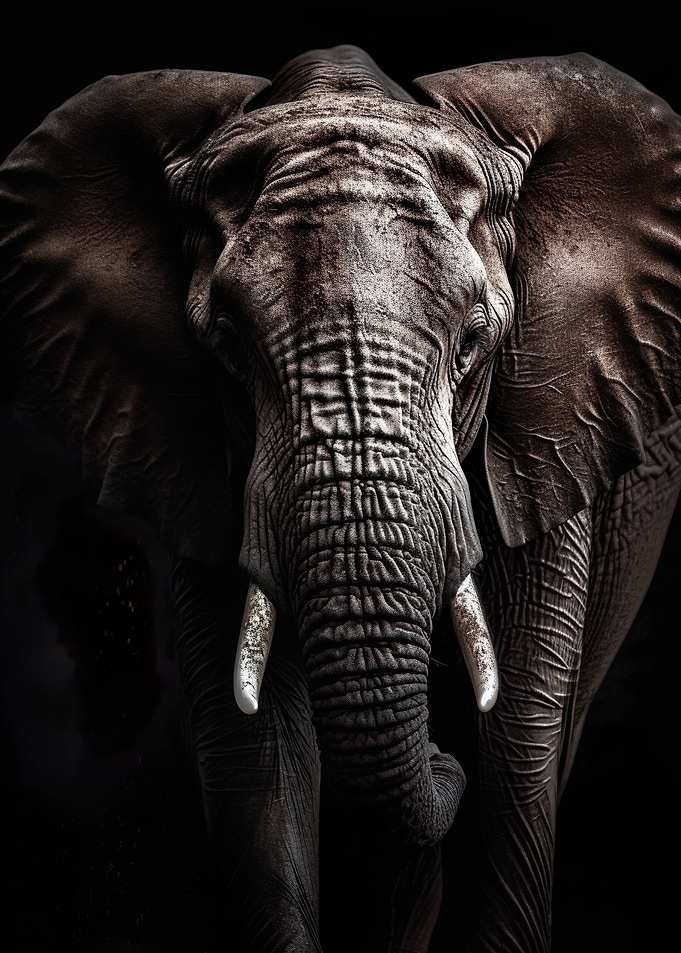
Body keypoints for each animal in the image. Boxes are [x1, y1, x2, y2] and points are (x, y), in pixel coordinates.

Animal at [1, 43, 680, 952]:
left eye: (473, 343)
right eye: (226, 346)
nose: (441, 758)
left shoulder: (548, 432)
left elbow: (516, 746)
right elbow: (257, 758)